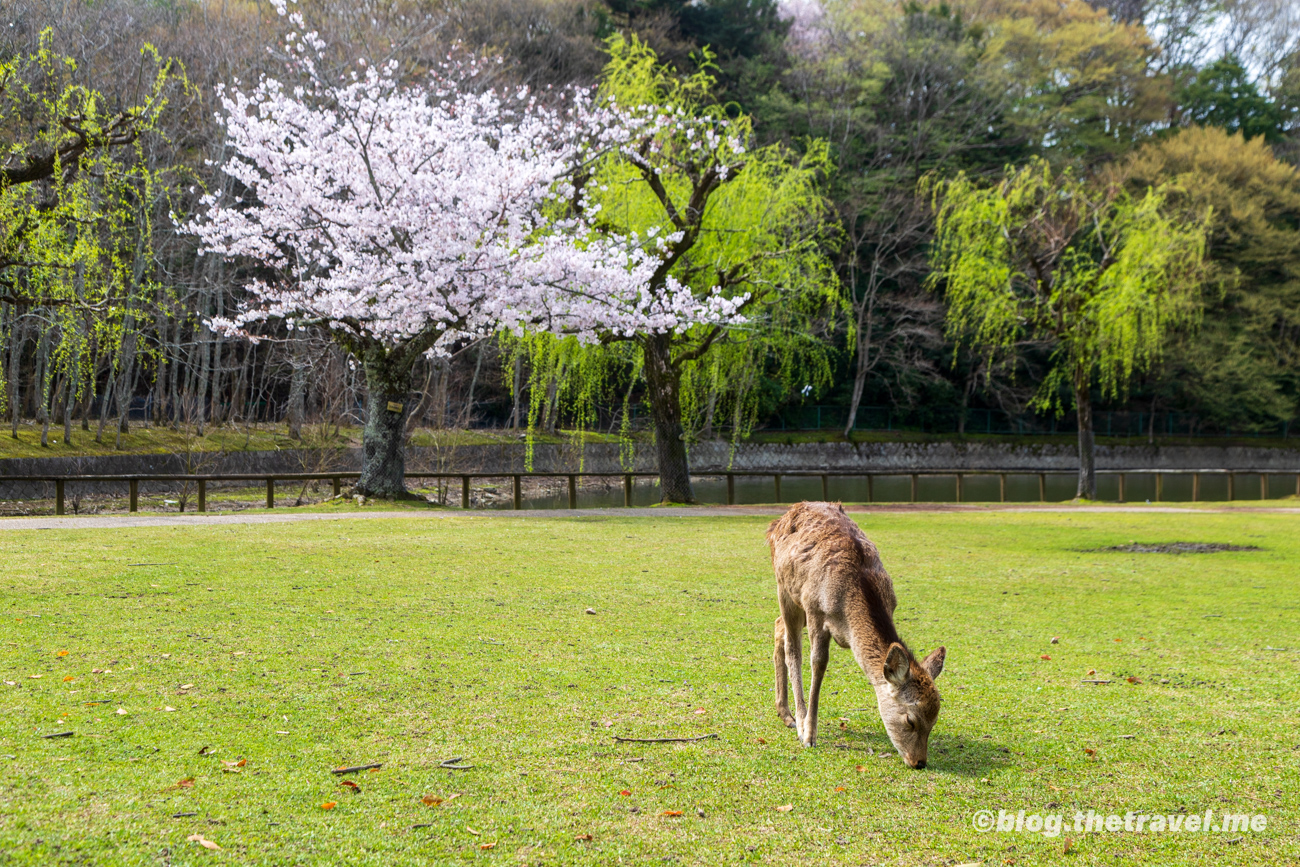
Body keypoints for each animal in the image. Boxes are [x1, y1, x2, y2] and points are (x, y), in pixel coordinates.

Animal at [769, 499, 946, 769]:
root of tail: (777, 522)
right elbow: (818, 663)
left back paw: (785, 714)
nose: (919, 762)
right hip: (786, 589)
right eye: (910, 720)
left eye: (935, 720)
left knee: (779, 627)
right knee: (792, 647)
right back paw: (796, 719)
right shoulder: (815, 610)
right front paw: (808, 734)